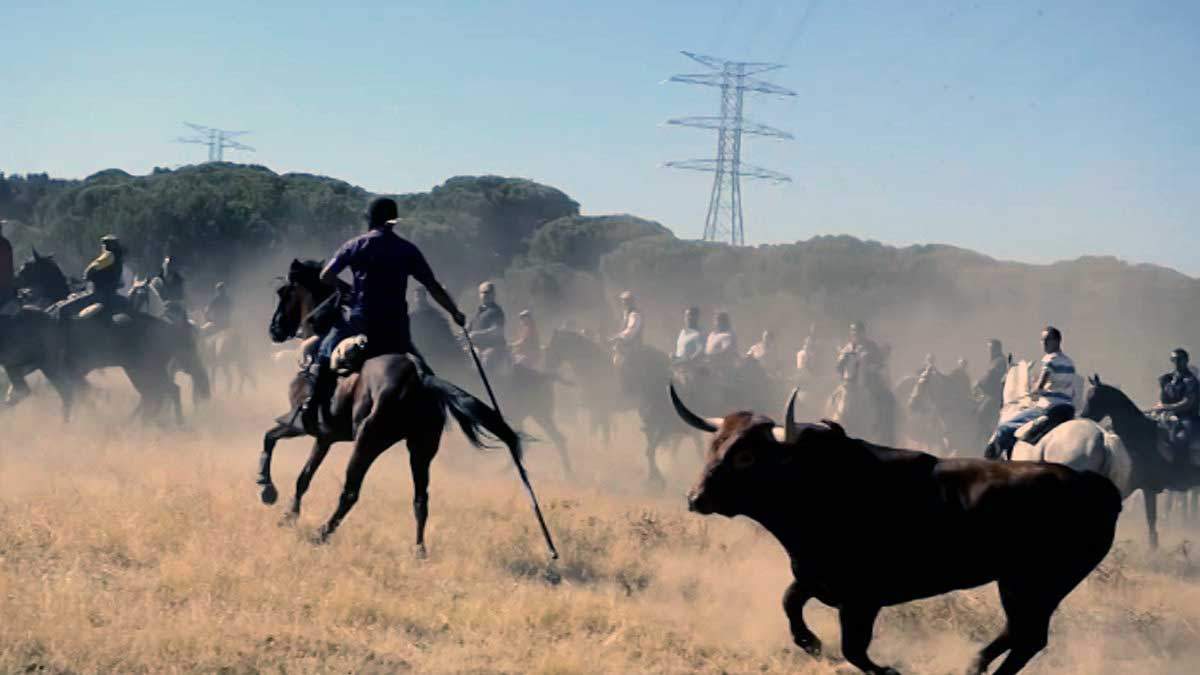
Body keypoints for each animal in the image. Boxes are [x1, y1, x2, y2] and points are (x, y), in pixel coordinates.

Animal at [260, 258, 537, 552]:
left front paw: (267, 489)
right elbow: (304, 476)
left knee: (351, 492)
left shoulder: (301, 424)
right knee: (420, 499)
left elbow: (270, 438)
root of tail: (420, 376)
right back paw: (419, 550)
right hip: (421, 448)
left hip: (368, 441)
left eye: (284, 293)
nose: (274, 329)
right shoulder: (326, 436)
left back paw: (321, 533)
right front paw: (288, 515)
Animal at [672, 384, 1118, 672]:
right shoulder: (815, 577)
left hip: (1035, 582)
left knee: (1028, 636)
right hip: (1031, 586)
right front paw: (812, 644)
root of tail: (1094, 485)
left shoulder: (862, 600)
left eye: (746, 455)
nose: (695, 497)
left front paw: (888, 669)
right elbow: (790, 603)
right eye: (715, 445)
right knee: (1023, 634)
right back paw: (973, 665)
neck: (824, 487)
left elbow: (854, 650)